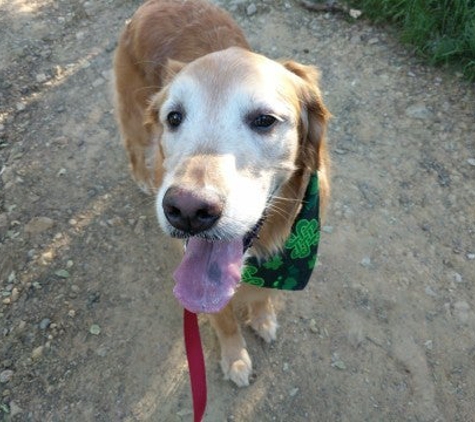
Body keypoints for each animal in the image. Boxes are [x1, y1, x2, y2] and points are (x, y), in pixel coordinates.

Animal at [115, 0, 330, 388]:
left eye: (265, 120)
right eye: (174, 117)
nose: (187, 211)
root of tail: (153, 5)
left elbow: (262, 297)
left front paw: (262, 318)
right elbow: (224, 318)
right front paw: (235, 358)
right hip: (134, 117)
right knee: (133, 148)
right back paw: (141, 177)